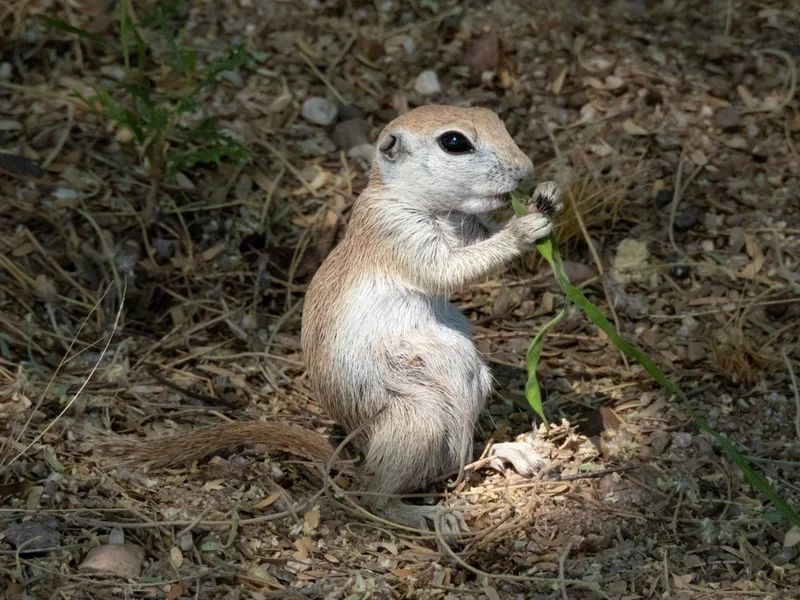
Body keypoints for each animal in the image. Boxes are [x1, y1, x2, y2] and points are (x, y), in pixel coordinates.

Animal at [102, 105, 563, 537]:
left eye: (494, 118)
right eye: (454, 142)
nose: (527, 170)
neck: (424, 204)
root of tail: (358, 460)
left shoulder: (469, 224)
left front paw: (547, 195)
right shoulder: (398, 233)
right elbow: (451, 269)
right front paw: (526, 227)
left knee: (455, 464)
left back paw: (512, 453)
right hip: (418, 423)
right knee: (376, 496)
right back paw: (432, 515)